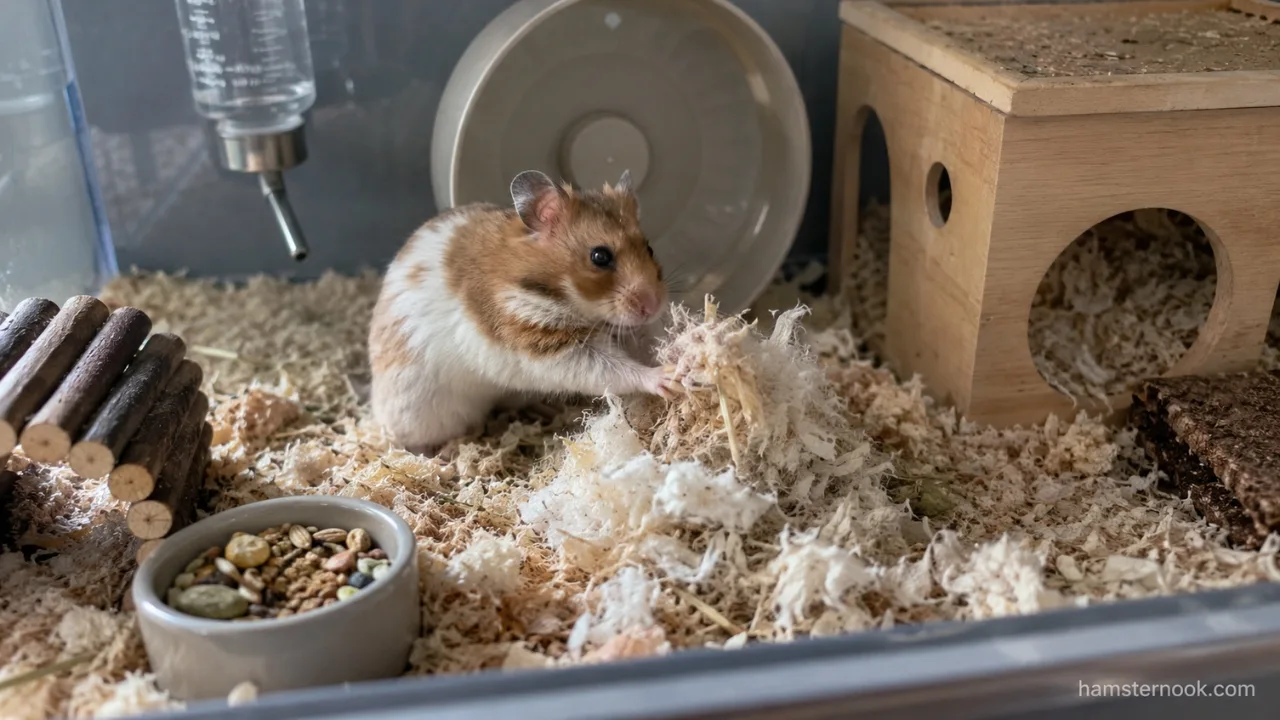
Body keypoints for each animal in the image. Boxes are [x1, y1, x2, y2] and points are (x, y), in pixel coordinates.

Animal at [367, 168, 679, 454]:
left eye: (649, 249)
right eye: (600, 256)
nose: (653, 307)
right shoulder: (541, 342)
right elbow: (611, 369)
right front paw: (667, 378)